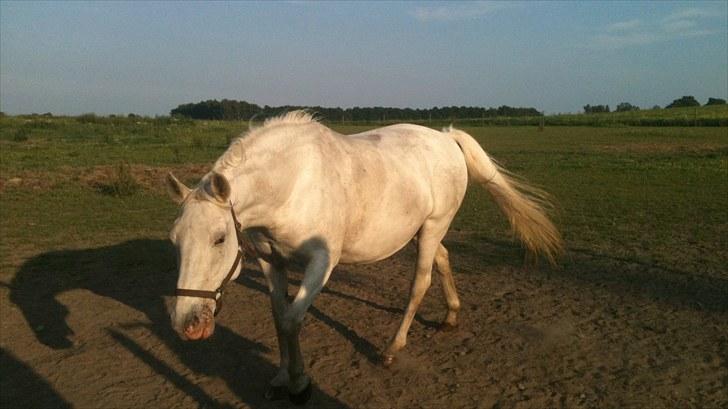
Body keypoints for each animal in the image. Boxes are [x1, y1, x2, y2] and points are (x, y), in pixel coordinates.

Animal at [166, 111, 564, 402]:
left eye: (219, 239)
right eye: (175, 240)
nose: (188, 324)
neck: (292, 183)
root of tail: (446, 137)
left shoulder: (321, 263)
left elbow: (293, 319)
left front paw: (299, 383)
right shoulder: (270, 261)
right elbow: (279, 317)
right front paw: (280, 377)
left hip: (433, 228)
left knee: (420, 283)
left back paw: (391, 349)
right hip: (425, 231)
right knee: (443, 259)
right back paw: (450, 315)